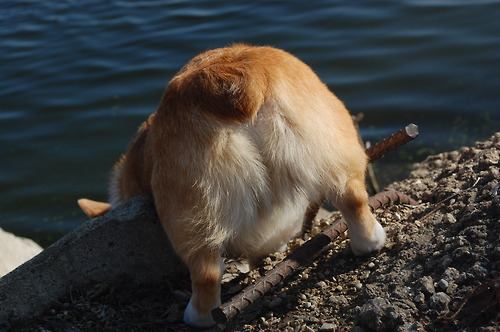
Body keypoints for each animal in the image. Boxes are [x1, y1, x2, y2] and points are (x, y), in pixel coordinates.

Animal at [77, 44, 386, 326]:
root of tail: (237, 79)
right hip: (333, 149)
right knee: (354, 202)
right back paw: (370, 242)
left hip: (190, 209)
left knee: (205, 273)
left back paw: (198, 317)